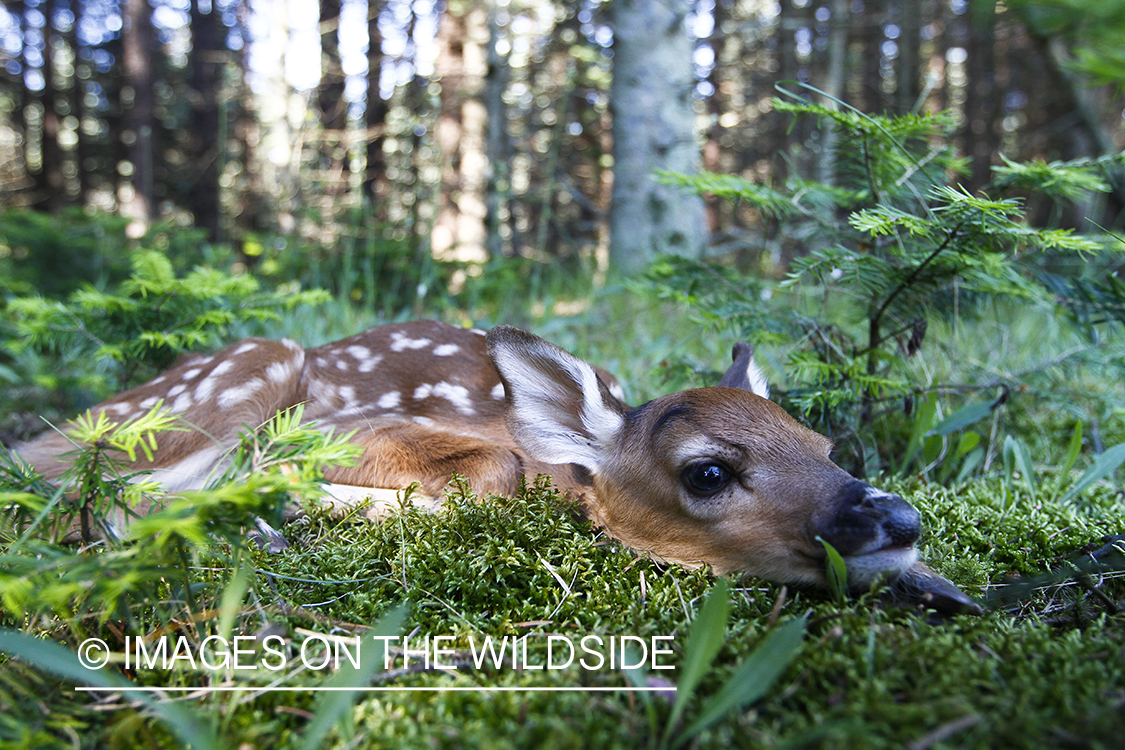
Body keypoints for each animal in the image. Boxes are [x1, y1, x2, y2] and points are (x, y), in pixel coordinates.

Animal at [12, 320, 981, 615]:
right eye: (706, 473)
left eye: (826, 449)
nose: (896, 521)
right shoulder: (345, 428)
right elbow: (493, 472)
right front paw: (299, 503)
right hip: (237, 379)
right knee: (89, 492)